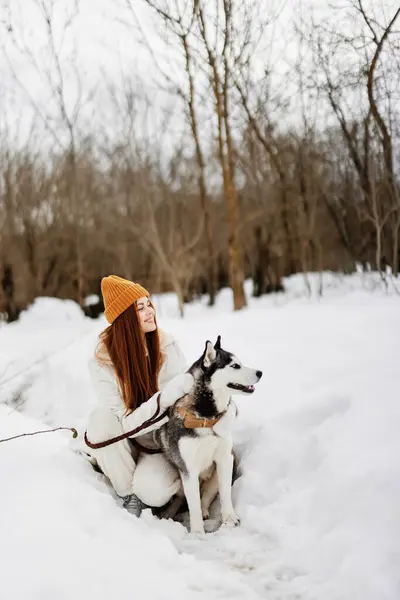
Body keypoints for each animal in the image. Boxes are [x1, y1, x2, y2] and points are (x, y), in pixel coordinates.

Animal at [154, 336, 262, 536]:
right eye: (235, 366)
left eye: (240, 362)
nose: (260, 372)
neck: (206, 418)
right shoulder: (188, 469)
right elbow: (193, 505)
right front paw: (197, 534)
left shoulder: (225, 458)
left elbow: (225, 493)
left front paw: (230, 519)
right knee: (184, 499)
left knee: (205, 497)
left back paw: (205, 511)